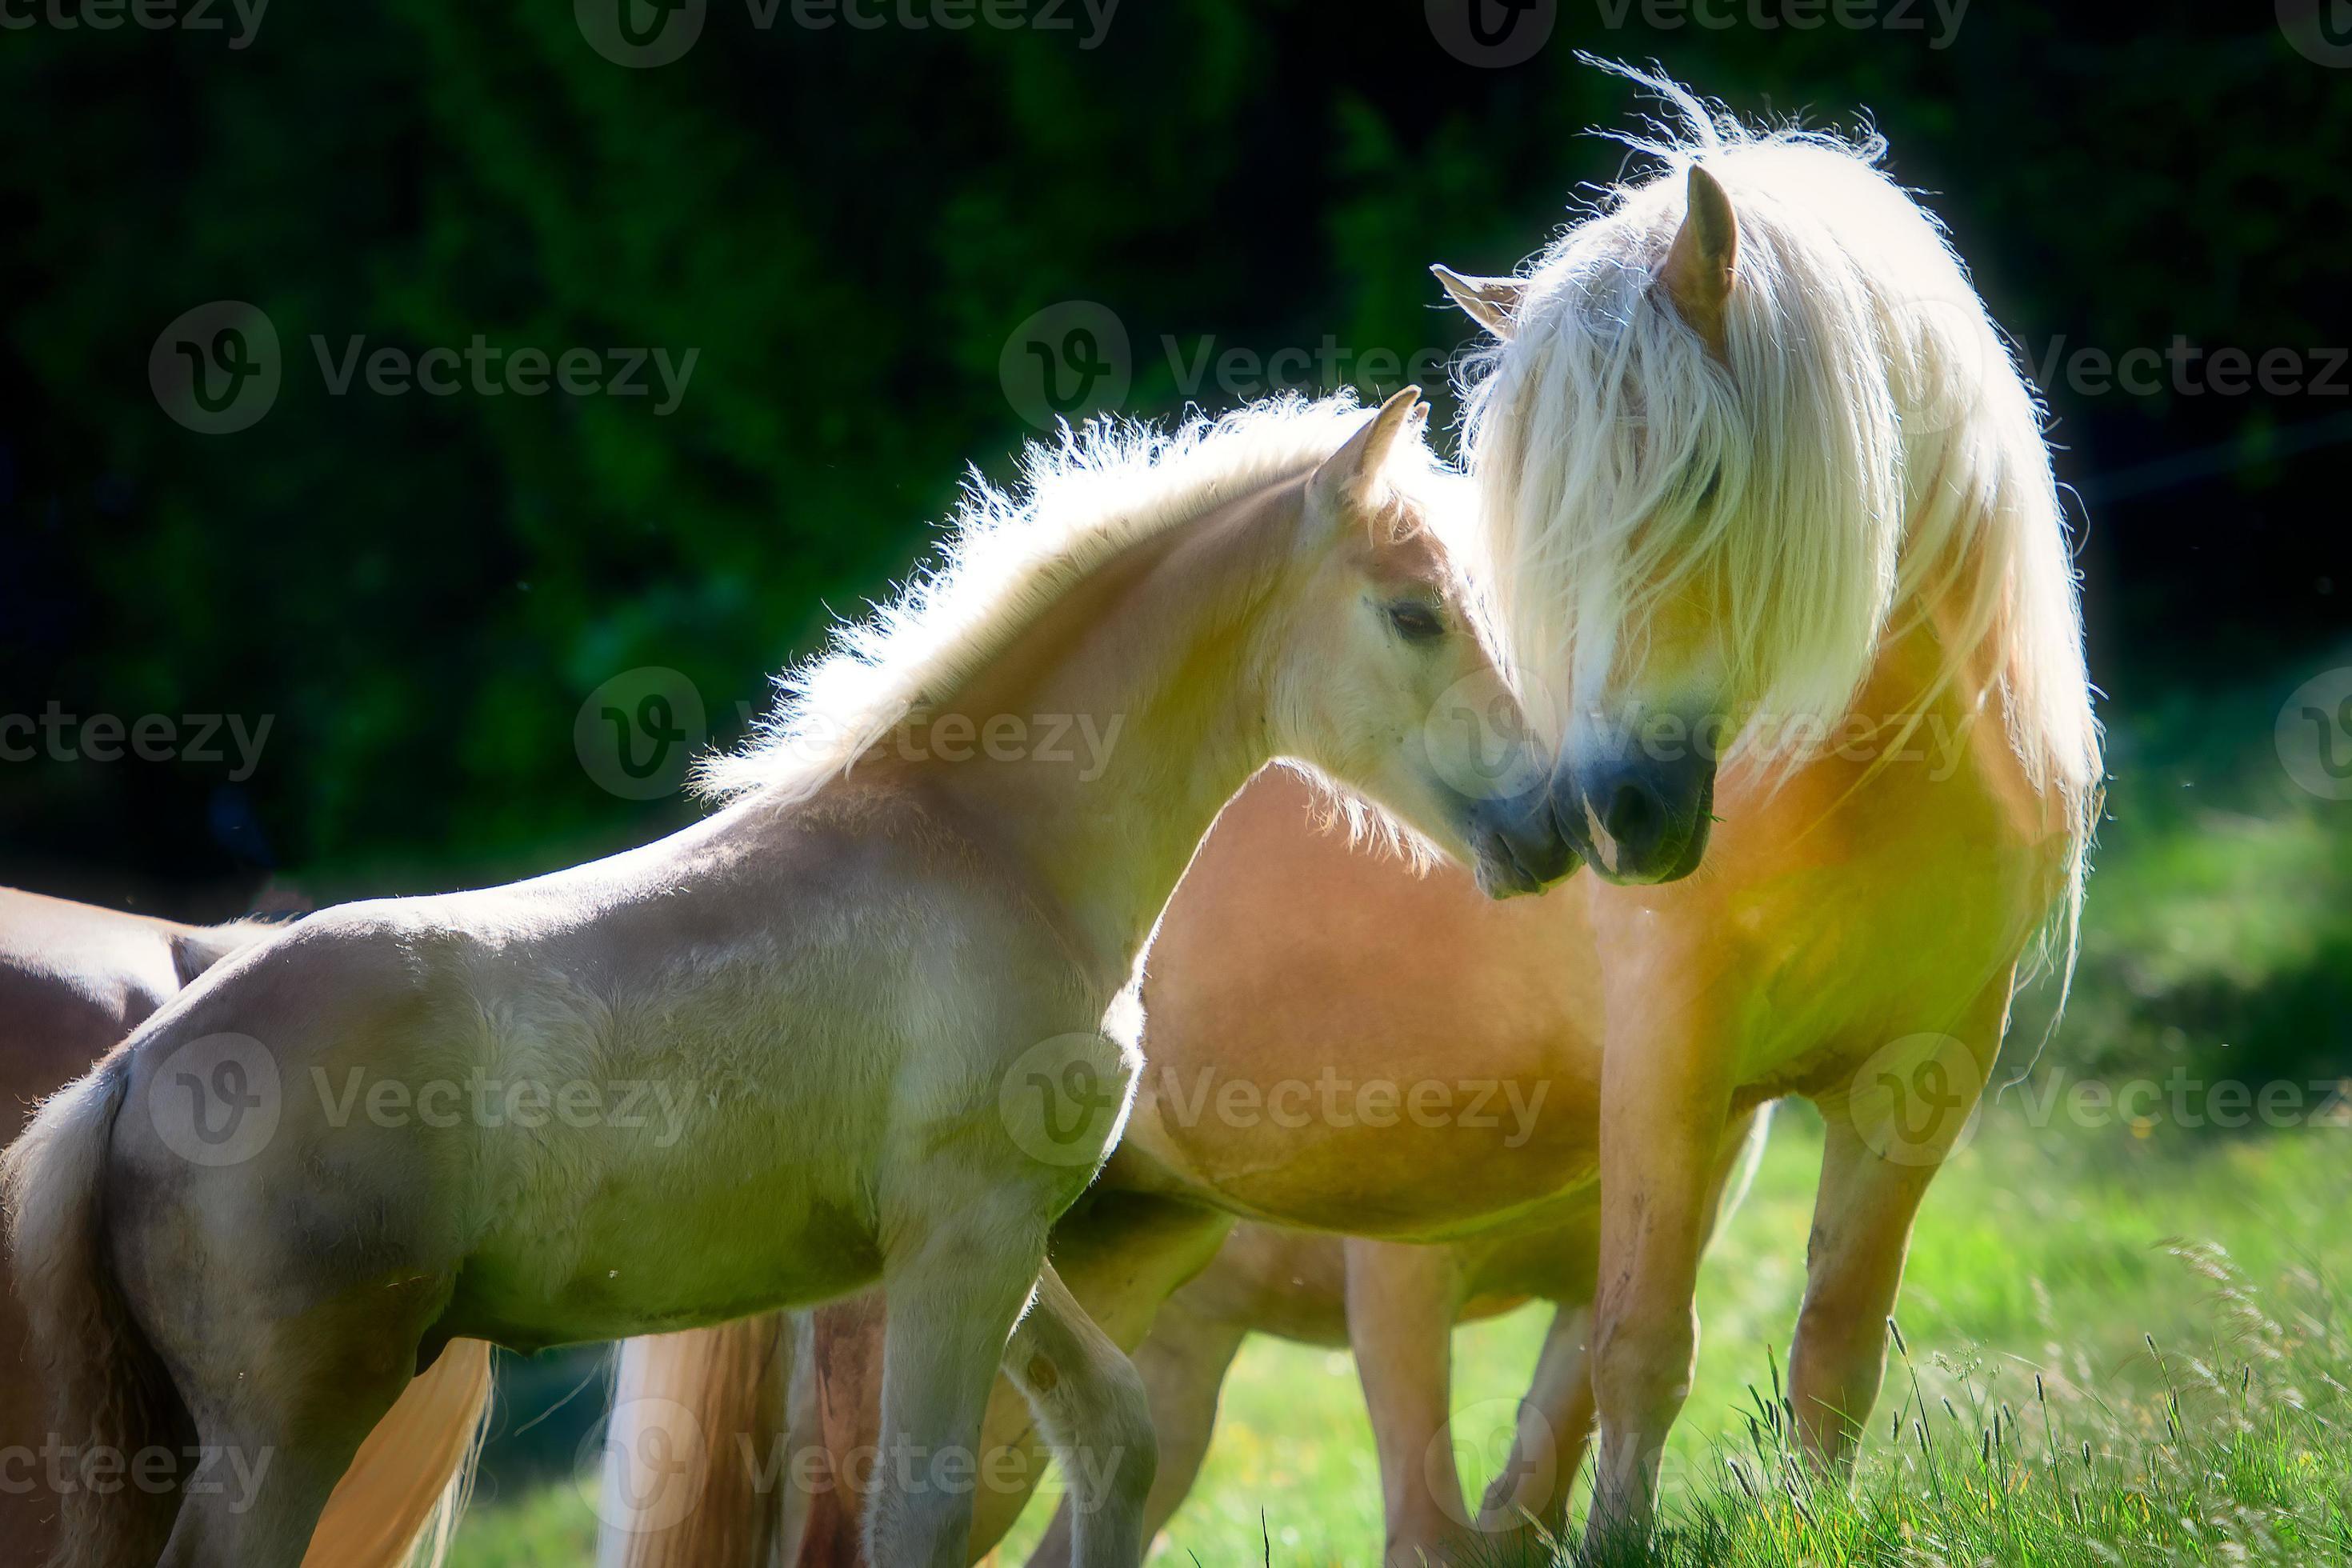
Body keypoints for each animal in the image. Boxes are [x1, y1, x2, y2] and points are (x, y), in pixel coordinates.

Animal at [4, 390, 1580, 1568]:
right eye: (1417, 613)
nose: (1553, 825)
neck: (987, 848)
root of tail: (138, 1069)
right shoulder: (962, 1239)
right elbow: (922, 1519)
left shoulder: (998, 1240)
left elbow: (1114, 1443)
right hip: (295, 1432)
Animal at [583, 67, 2098, 1561]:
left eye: (1706, 484)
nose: (1616, 815)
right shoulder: (1664, 1067)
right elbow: (1634, 1358)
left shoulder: (1924, 1072)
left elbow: (1826, 1355)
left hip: (1102, 1266)